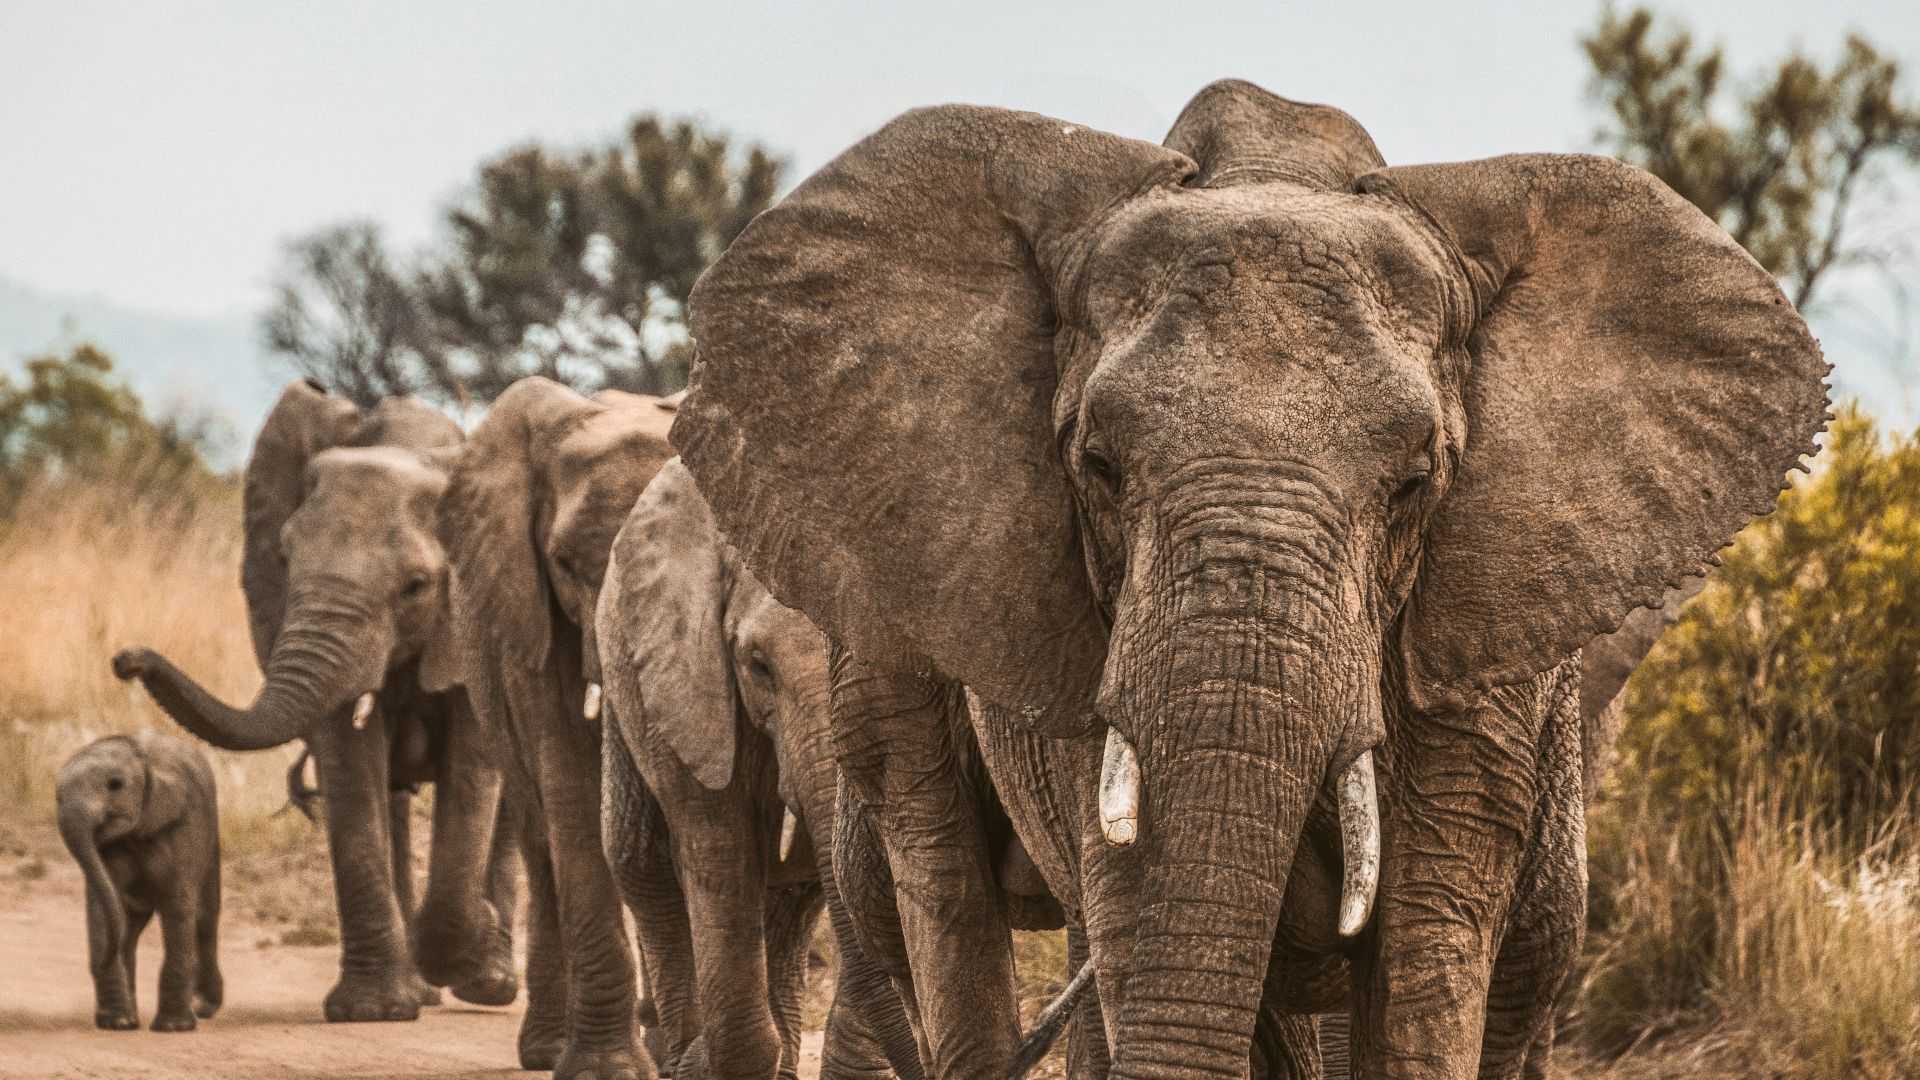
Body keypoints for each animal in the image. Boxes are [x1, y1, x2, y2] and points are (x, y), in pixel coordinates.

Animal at [58, 730, 223, 1033]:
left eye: (115, 785)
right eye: (58, 797)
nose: (102, 960)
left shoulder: (187, 823)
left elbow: (178, 904)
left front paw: (173, 1028)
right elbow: (102, 905)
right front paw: (117, 1023)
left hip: (212, 838)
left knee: (205, 917)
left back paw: (204, 1008)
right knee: (130, 927)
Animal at [112, 380, 515, 1023]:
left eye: (417, 586)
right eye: (283, 561)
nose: (126, 659)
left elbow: (474, 768)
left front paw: (466, 938)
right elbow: (349, 765)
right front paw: (373, 1012)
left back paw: (489, 983)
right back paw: (424, 988)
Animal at [436, 376, 679, 1080]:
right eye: (566, 563)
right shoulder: (525, 607)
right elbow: (568, 776)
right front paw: (608, 1069)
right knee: (542, 835)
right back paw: (548, 1050)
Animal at [596, 457, 924, 1080]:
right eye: (757, 665)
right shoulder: (689, 682)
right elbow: (720, 853)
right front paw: (713, 1060)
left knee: (793, 907)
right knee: (642, 866)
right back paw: (679, 1051)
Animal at [665, 79, 1829, 1078]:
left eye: (1416, 484)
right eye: (1097, 467)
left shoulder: (1484, 626)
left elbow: (1428, 949)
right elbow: (1143, 901)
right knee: (942, 888)